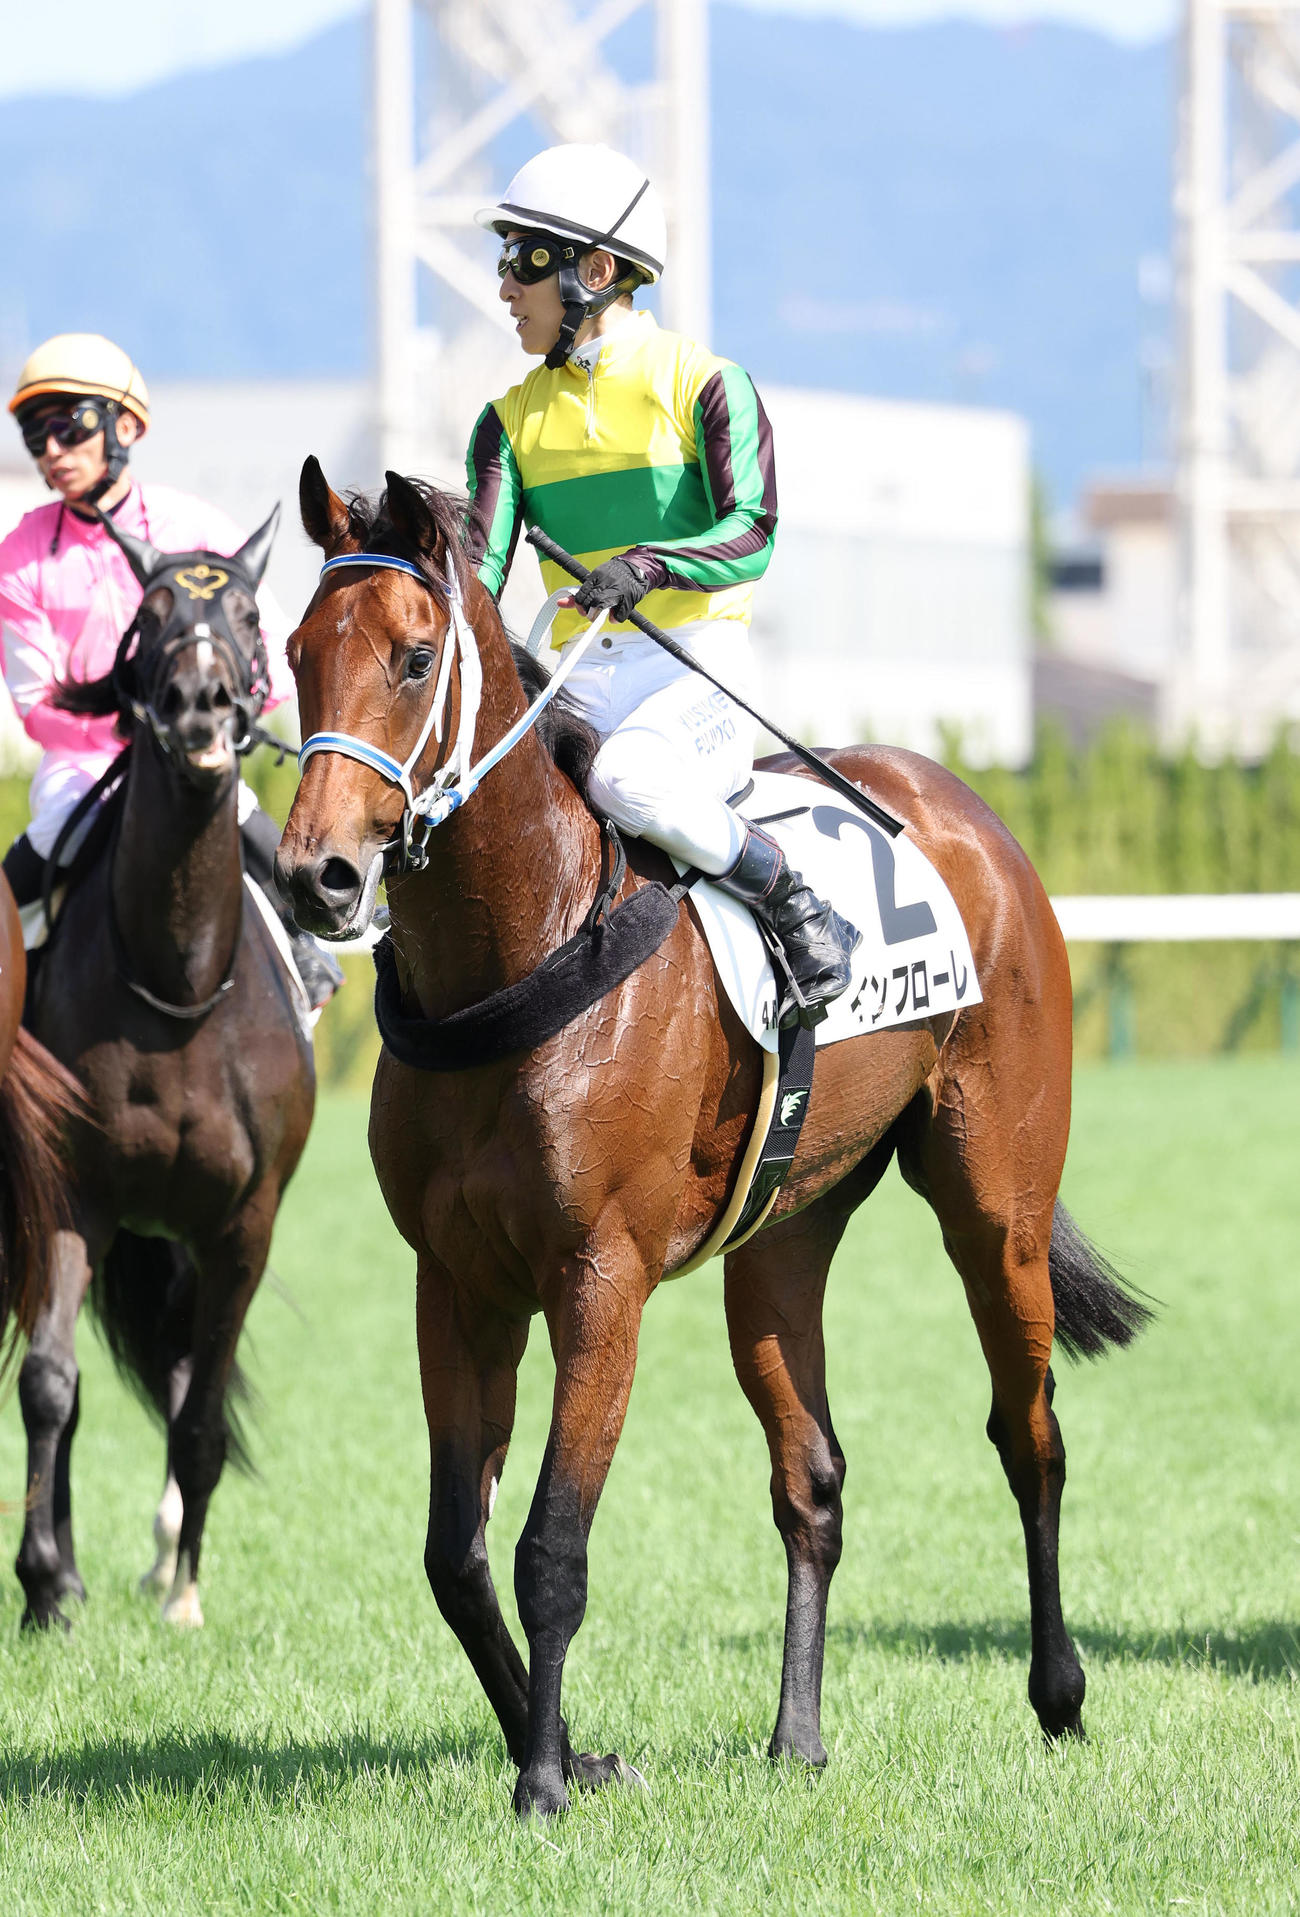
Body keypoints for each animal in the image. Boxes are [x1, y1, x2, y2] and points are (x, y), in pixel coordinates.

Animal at [13, 510, 317, 1632]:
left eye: (249, 614)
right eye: (152, 616)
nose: (198, 704)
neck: (181, 986)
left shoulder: (242, 1225)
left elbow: (199, 1413)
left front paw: (183, 1587)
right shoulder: (70, 1194)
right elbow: (50, 1384)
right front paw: (48, 1583)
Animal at [277, 462, 1149, 1820]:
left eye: (415, 659)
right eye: (296, 651)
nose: (314, 875)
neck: (519, 951)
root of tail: (964, 810)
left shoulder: (599, 1278)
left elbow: (550, 1544)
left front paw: (544, 1781)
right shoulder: (456, 1281)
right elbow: (454, 1554)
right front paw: (571, 1749)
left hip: (994, 1203)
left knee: (1030, 1438)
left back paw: (1057, 1695)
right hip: (780, 1240)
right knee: (812, 1475)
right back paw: (799, 1733)